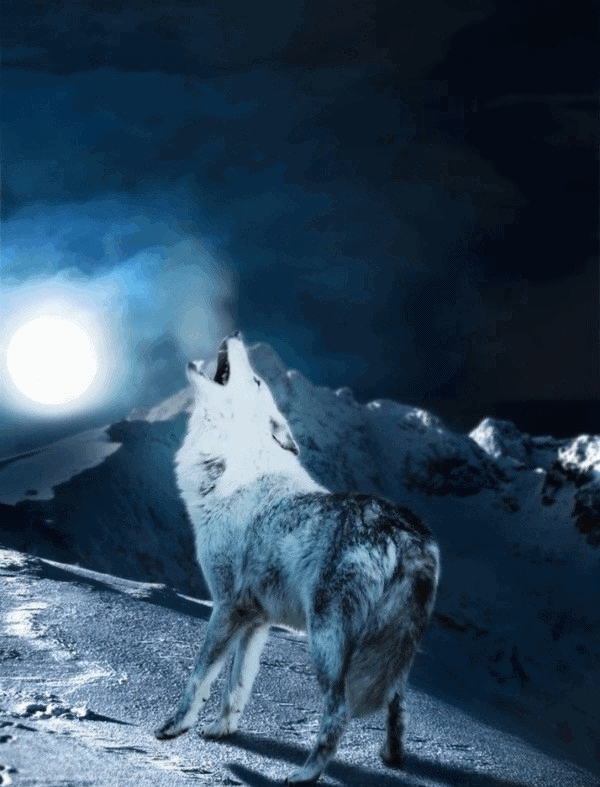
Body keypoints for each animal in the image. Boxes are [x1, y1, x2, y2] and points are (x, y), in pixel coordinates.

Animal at [155, 332, 440, 784]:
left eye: (256, 380)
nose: (236, 335)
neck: (231, 466)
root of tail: (409, 535)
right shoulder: (255, 619)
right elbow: (237, 685)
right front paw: (221, 730)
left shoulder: (226, 607)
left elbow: (199, 677)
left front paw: (173, 728)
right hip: (385, 652)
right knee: (397, 704)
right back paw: (391, 758)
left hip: (325, 644)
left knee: (338, 714)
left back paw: (306, 774)